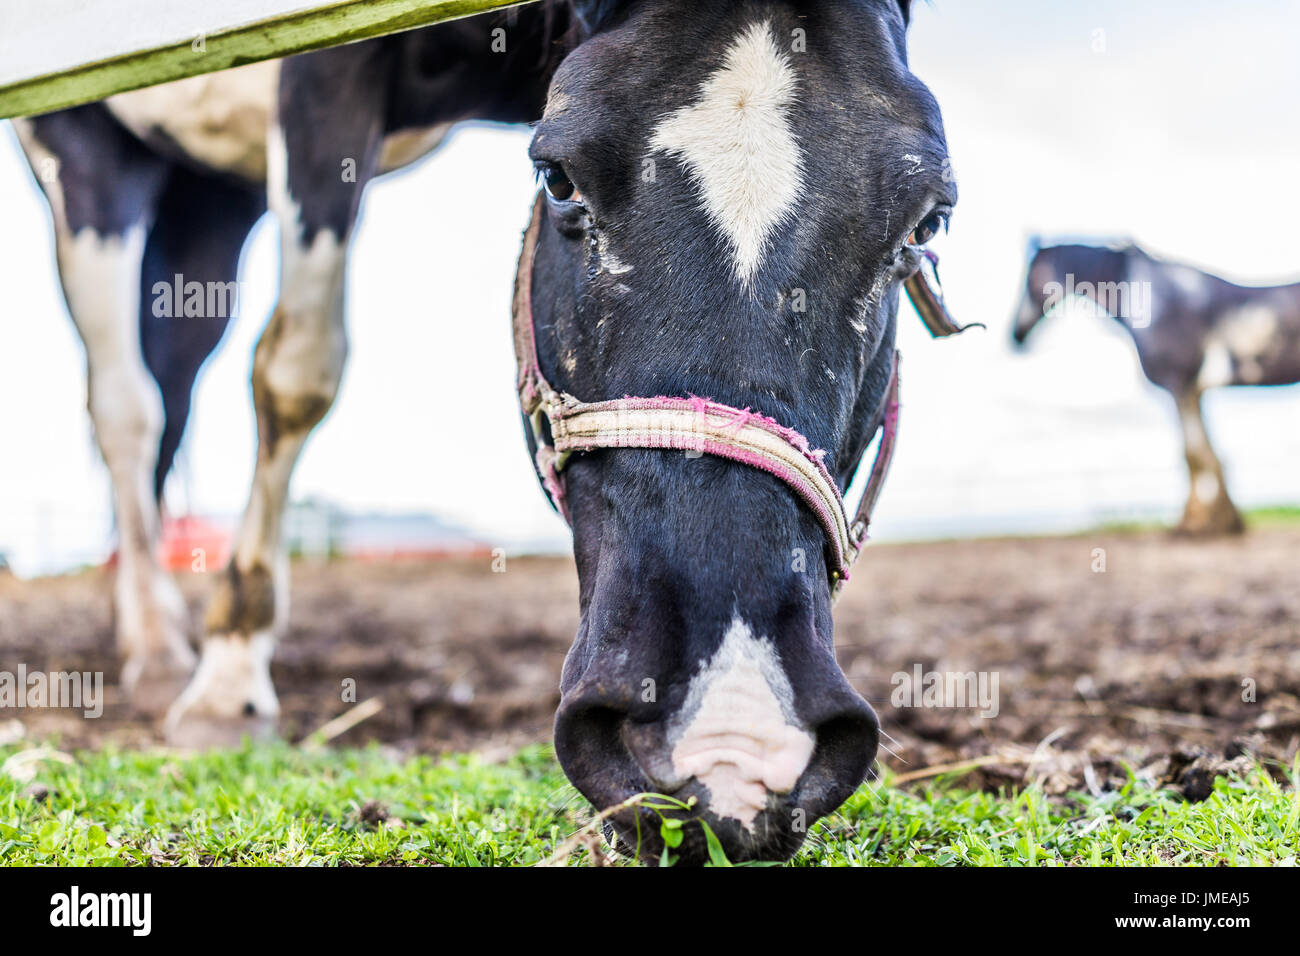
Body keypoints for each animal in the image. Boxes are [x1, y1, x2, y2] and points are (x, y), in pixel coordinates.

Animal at [13, 0, 956, 864]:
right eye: (558, 177)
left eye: (927, 221)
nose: (729, 739)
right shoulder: (316, 79)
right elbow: (296, 373)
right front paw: (229, 679)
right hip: (86, 151)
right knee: (126, 406)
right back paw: (155, 646)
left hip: (210, 200)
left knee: (171, 380)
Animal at [1011, 240, 1300, 536]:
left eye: (1029, 276)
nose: (1015, 334)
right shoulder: (1193, 391)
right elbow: (1203, 453)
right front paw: (1220, 519)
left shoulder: (1177, 384)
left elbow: (1192, 455)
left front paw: (1197, 523)